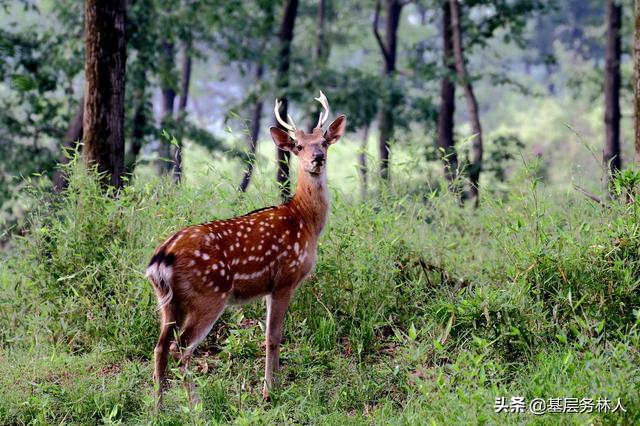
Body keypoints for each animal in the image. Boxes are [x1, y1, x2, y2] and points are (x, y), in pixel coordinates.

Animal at [146, 91, 344, 408]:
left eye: (324, 141)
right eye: (298, 145)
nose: (318, 158)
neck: (304, 220)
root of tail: (161, 258)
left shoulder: (268, 287)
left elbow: (269, 334)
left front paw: (275, 384)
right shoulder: (285, 278)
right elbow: (274, 336)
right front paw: (269, 392)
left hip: (167, 301)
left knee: (160, 347)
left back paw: (158, 407)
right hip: (208, 295)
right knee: (181, 347)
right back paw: (196, 405)